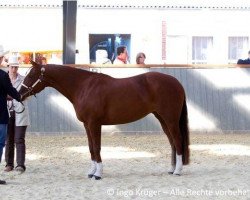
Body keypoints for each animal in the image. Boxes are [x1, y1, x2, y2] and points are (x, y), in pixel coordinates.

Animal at [19, 61, 189, 180]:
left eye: (31, 75)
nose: (19, 94)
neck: (84, 87)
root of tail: (177, 83)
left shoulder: (94, 124)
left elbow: (97, 148)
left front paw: (98, 174)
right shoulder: (87, 125)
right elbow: (90, 148)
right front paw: (91, 172)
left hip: (170, 119)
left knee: (177, 140)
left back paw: (178, 171)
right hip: (162, 119)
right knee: (172, 142)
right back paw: (172, 169)